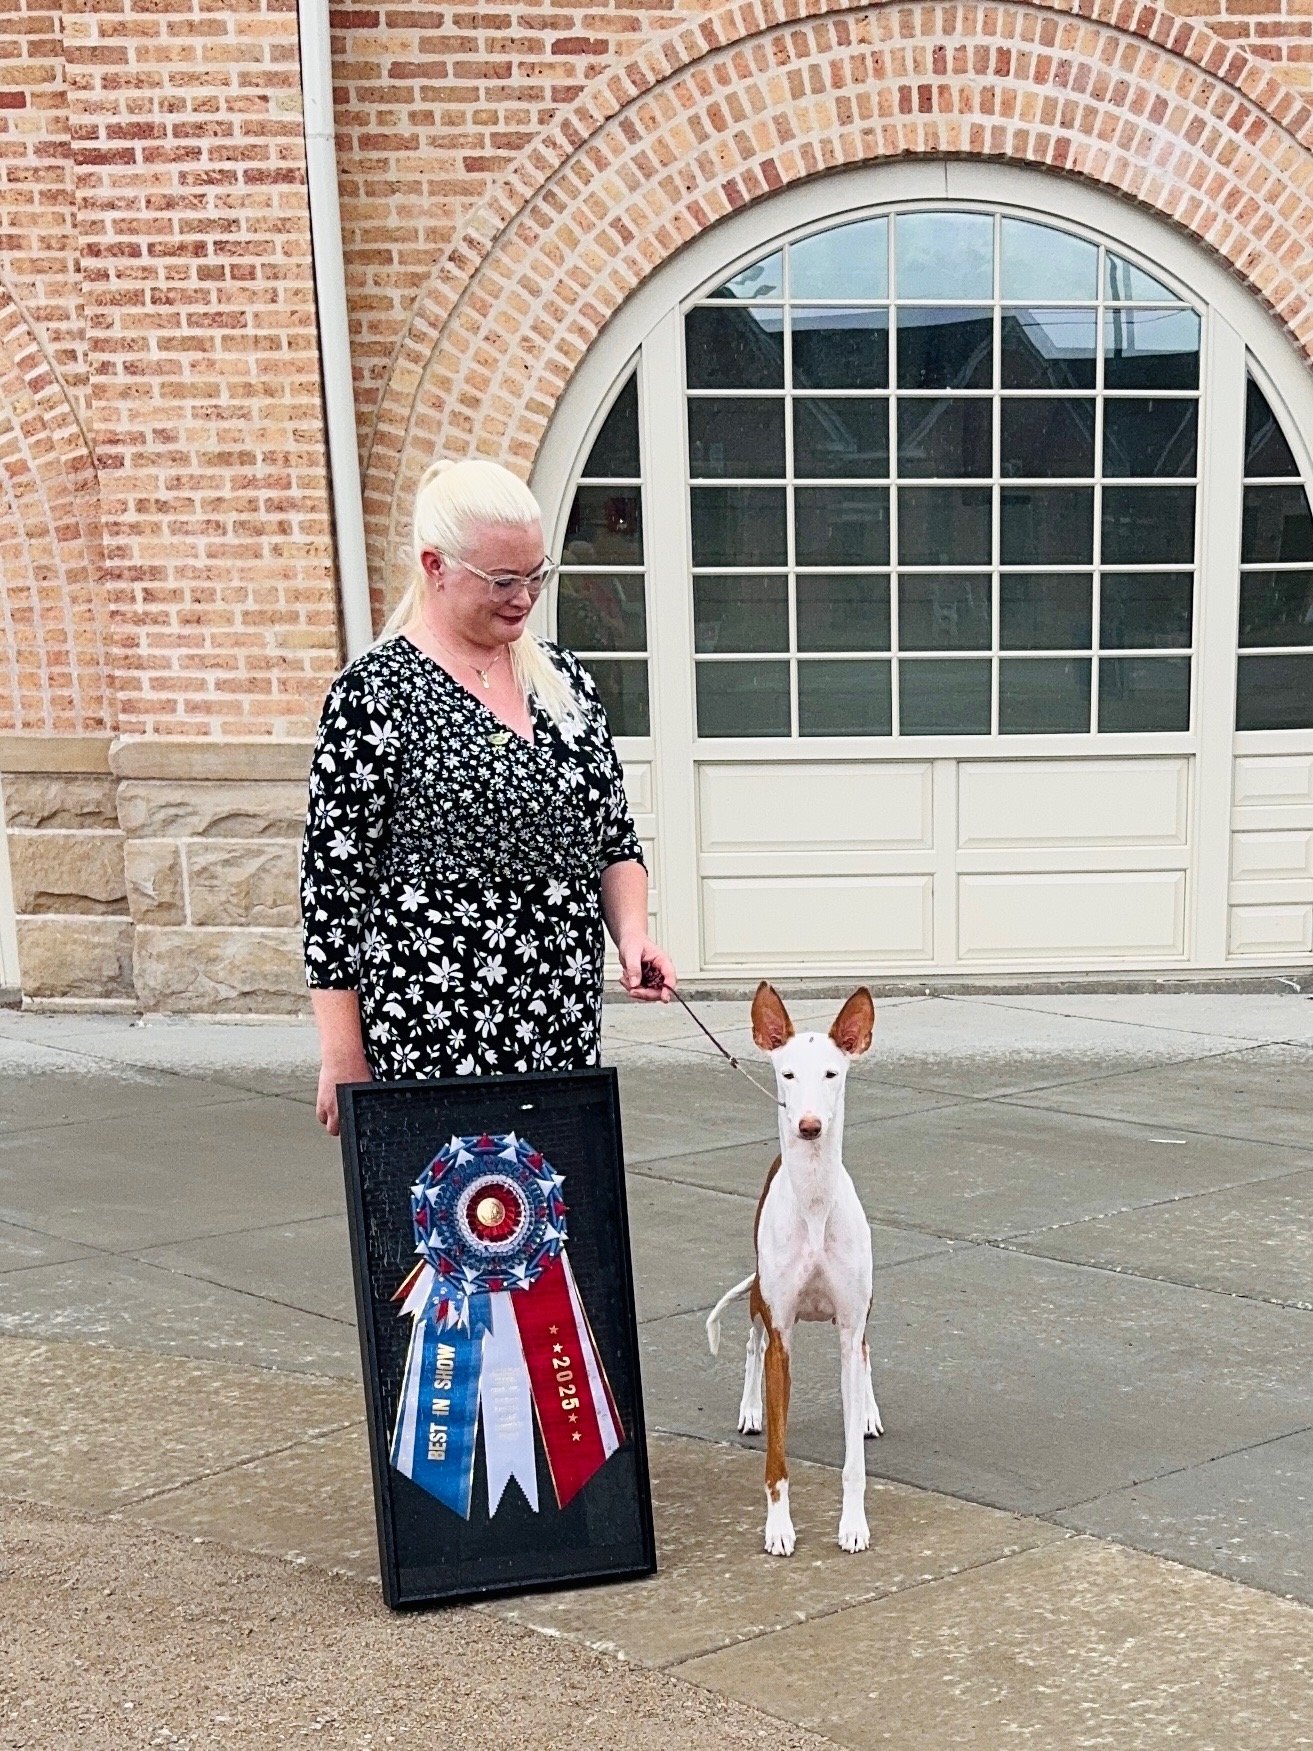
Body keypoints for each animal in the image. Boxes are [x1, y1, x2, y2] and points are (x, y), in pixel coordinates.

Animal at [706, 982, 881, 1556]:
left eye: (831, 1073)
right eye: (786, 1074)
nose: (809, 1126)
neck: (814, 1205)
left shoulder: (849, 1325)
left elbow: (854, 1462)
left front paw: (853, 1525)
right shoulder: (782, 1333)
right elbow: (777, 1461)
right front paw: (779, 1529)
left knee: (866, 1352)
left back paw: (868, 1411)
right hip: (762, 1299)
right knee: (751, 1342)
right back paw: (751, 1409)